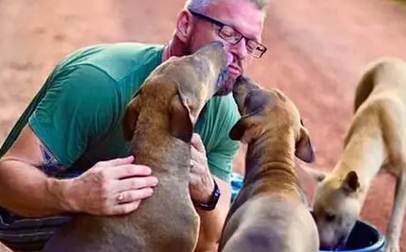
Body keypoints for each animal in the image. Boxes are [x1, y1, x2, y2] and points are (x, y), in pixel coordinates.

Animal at [308, 57, 406, 252]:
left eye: (331, 216)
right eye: (314, 214)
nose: (321, 246)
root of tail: (393, 59)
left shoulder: (405, 175)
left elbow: (397, 214)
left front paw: (391, 244)